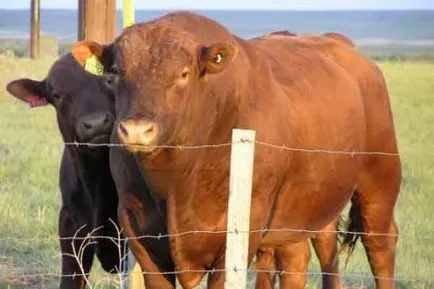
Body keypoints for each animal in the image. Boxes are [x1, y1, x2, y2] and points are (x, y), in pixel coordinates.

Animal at [70, 11, 400, 288]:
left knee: (380, 245)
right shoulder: (141, 236)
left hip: (378, 185)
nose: (137, 130)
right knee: (307, 255)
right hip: (306, 207)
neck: (176, 181)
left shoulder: (237, 237)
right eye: (113, 74)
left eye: (183, 74)